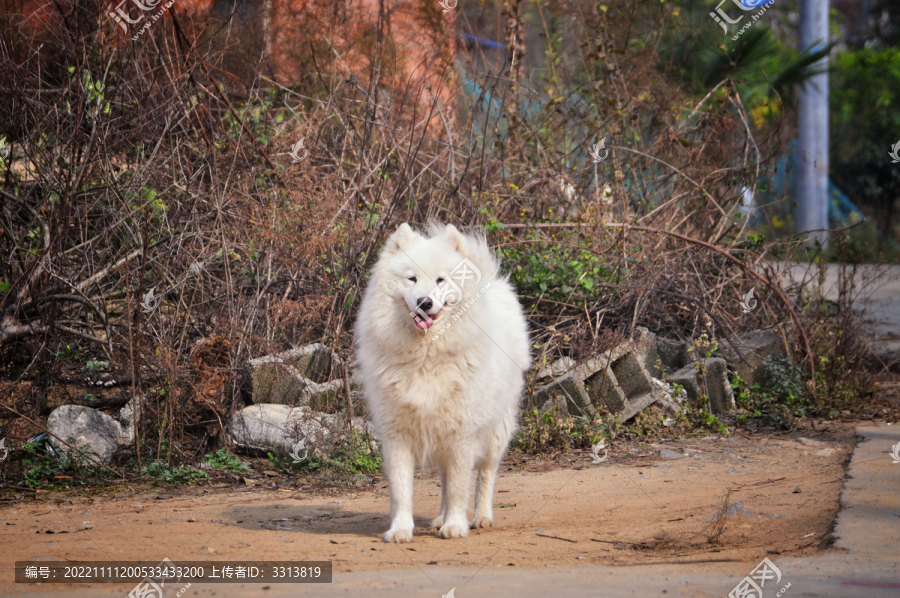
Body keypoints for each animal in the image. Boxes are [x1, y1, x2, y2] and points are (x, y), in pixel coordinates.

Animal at [356, 224, 532, 544]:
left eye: (440, 280)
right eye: (411, 278)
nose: (425, 302)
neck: (425, 356)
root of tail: (493, 282)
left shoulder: (462, 434)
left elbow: (460, 486)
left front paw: (456, 526)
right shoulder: (397, 435)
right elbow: (402, 490)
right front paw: (401, 529)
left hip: (496, 431)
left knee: (486, 475)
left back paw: (481, 518)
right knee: (443, 477)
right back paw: (439, 518)